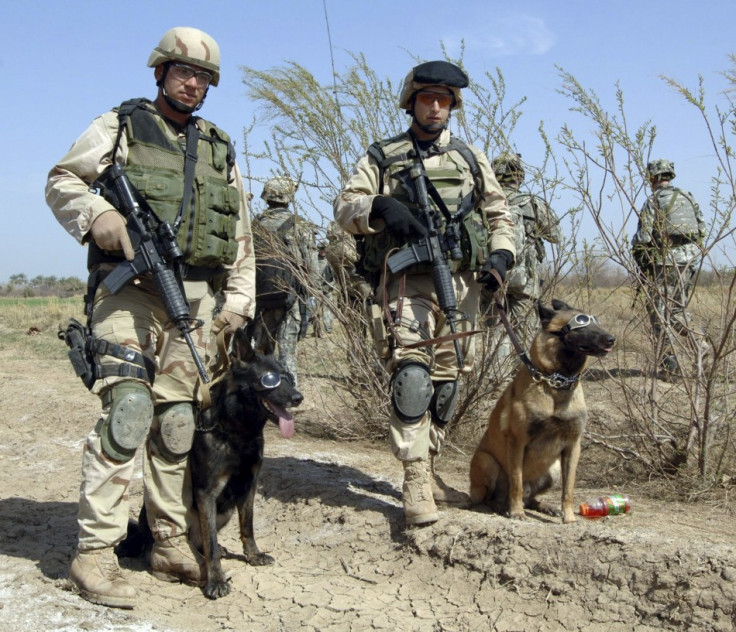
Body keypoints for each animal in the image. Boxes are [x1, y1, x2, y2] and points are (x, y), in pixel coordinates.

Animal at [472, 300, 616, 524]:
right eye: (581, 323)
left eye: (596, 322)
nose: (611, 339)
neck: (556, 382)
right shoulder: (517, 441)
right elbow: (516, 483)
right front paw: (516, 512)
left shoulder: (573, 446)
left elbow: (568, 489)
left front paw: (568, 516)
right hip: (486, 461)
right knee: (495, 496)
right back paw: (502, 506)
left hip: (553, 470)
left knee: (531, 498)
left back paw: (546, 507)